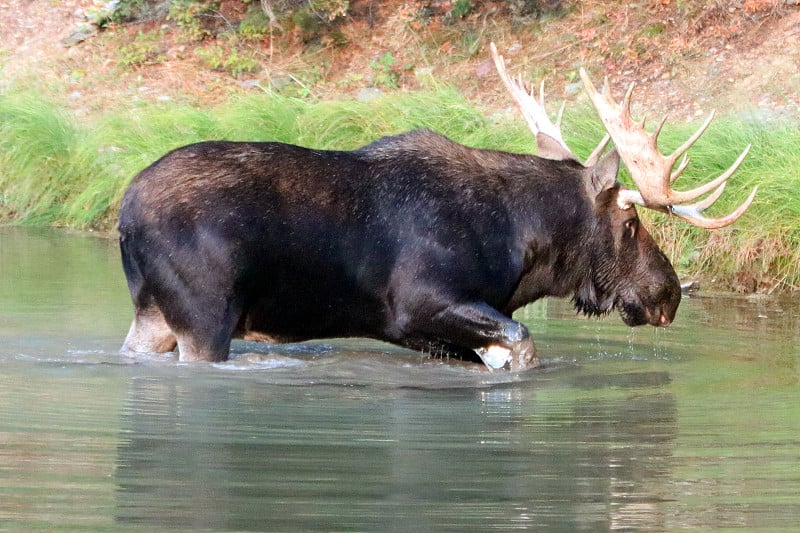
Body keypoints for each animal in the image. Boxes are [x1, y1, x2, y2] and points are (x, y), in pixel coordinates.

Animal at [119, 43, 756, 370]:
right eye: (630, 220)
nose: (668, 293)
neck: (523, 247)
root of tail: (124, 214)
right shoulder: (420, 304)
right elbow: (523, 346)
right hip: (206, 315)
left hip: (154, 312)